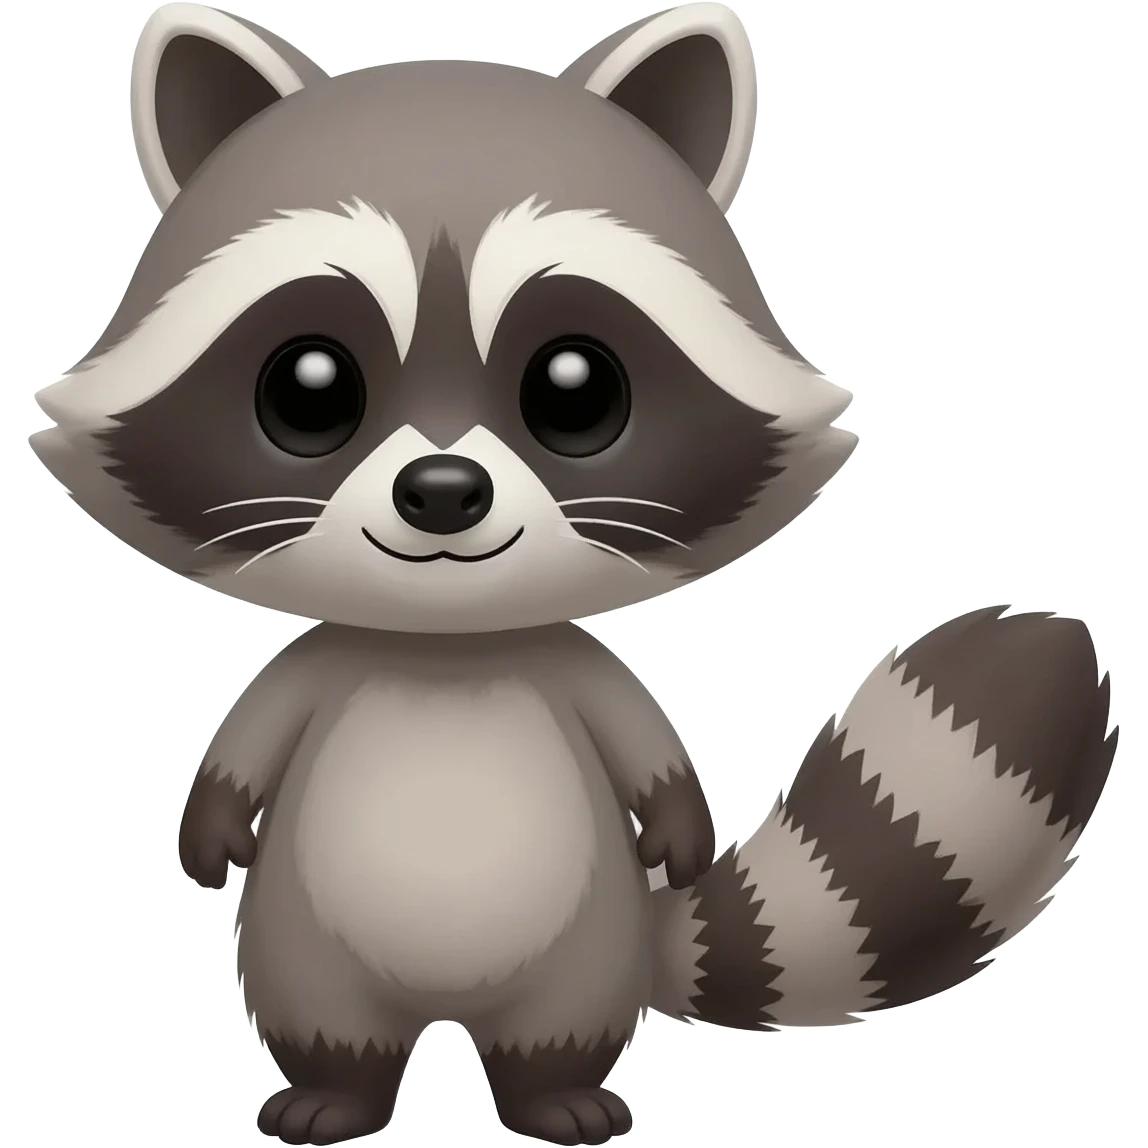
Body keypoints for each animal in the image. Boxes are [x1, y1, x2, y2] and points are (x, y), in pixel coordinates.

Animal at [32, 4, 1119, 1146]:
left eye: (575, 388)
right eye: (309, 389)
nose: (442, 491)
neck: (448, 649)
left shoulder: (575, 670)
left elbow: (640, 742)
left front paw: (682, 829)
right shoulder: (319, 668)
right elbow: (254, 732)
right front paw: (210, 828)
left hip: (583, 953)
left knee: (557, 1023)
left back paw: (552, 1090)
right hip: (303, 943)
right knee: (324, 1015)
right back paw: (339, 1087)